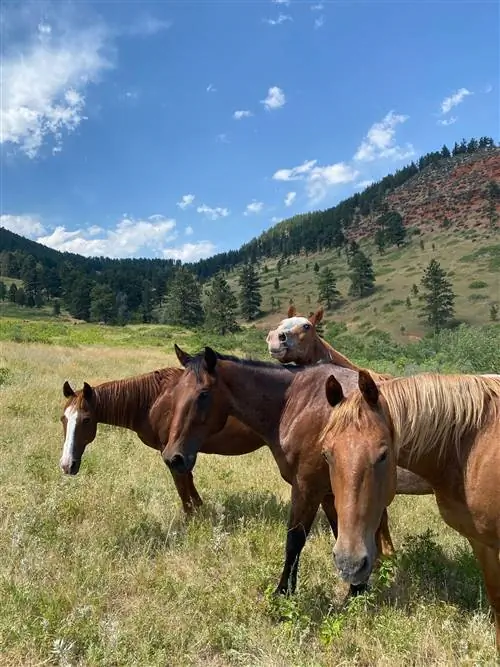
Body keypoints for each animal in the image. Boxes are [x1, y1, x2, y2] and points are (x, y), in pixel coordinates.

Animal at [59, 369, 266, 515]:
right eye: (63, 418)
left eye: (86, 420)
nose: (67, 465)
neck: (154, 400)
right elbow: (188, 480)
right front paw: (199, 509)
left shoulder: (172, 453)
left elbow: (181, 485)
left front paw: (190, 518)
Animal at [163, 344, 428, 596]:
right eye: (175, 393)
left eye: (203, 395)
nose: (173, 457)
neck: (299, 403)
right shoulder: (329, 493)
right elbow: (341, 532)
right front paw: (357, 589)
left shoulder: (307, 488)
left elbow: (295, 540)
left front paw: (284, 592)